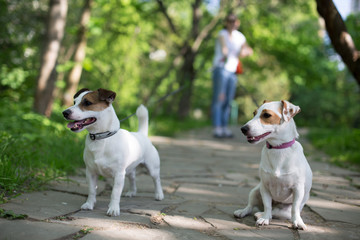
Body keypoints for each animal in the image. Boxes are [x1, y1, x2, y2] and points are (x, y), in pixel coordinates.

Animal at [62, 87, 164, 216]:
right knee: (132, 178)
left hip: (152, 168)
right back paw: (132, 192)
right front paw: (89, 204)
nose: (64, 112)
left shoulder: (119, 175)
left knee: (157, 180)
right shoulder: (90, 172)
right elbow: (91, 190)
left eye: (87, 103)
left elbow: (115, 193)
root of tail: (142, 134)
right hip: (129, 169)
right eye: (74, 102)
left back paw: (159, 194)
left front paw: (113, 208)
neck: (102, 138)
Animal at [233, 100, 312, 230]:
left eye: (266, 115)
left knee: (275, 212)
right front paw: (264, 219)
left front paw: (298, 222)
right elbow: (267, 205)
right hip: (255, 191)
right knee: (252, 207)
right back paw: (246, 212)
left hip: (285, 211)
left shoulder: (298, 189)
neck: (278, 149)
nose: (243, 129)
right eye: (254, 113)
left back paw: (260, 214)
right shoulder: (264, 187)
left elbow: (295, 209)